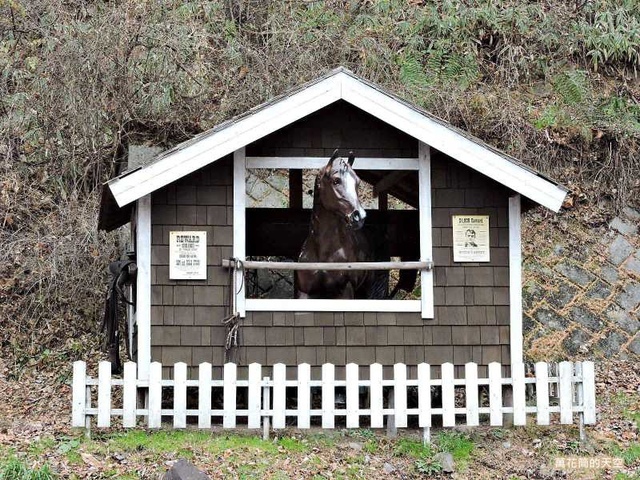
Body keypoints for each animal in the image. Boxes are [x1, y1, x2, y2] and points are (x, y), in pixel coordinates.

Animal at [296, 150, 380, 300]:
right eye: (336, 181)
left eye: (358, 182)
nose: (360, 216)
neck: (324, 255)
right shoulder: (304, 292)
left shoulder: (345, 291)